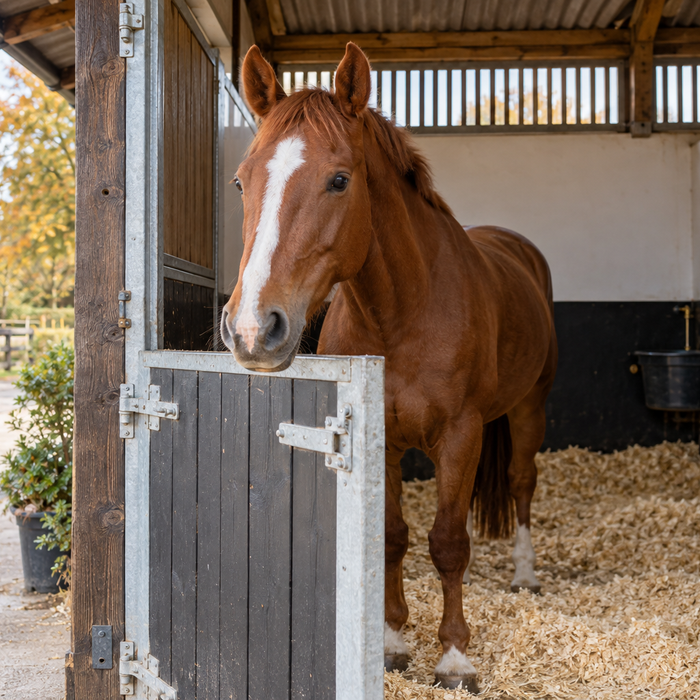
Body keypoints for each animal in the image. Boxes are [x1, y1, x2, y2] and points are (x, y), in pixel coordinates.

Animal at [221, 43, 558, 691]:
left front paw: (454, 657)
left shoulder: (460, 434)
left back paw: (525, 575)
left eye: (339, 180)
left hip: (530, 406)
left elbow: (448, 542)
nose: (251, 330)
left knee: (521, 483)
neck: (403, 312)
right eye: (241, 180)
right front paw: (392, 641)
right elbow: (394, 537)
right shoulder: (384, 438)